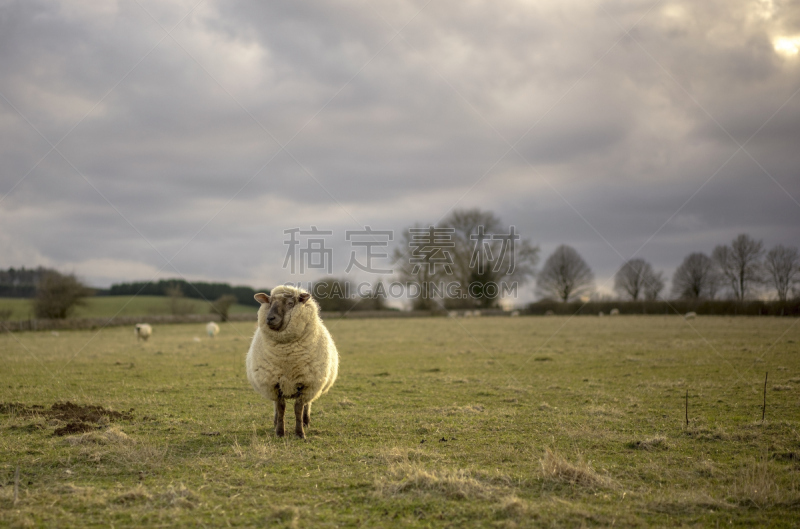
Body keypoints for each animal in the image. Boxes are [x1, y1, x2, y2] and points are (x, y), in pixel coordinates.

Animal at [247, 284, 340, 438]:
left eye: (290, 303)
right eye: (270, 302)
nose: (269, 318)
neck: (287, 357)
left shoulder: (306, 383)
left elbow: (298, 408)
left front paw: (300, 433)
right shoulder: (275, 384)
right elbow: (281, 407)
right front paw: (280, 432)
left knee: (308, 404)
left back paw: (306, 421)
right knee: (276, 406)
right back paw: (275, 422)